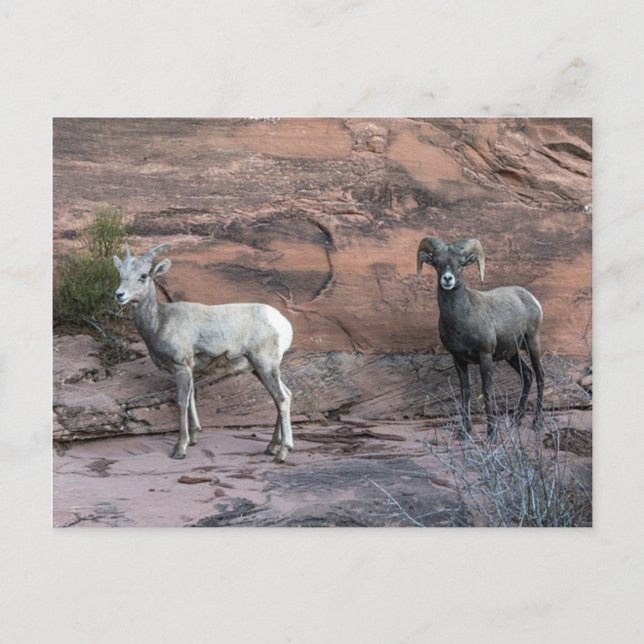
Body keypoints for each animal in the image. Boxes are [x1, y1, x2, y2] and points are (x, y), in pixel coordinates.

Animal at [113, 242, 294, 462]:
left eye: (143, 275)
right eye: (121, 273)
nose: (119, 295)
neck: (160, 322)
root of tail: (283, 324)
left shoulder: (181, 366)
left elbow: (182, 402)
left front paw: (180, 449)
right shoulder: (189, 369)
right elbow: (191, 398)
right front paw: (193, 438)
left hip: (265, 366)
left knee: (282, 400)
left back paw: (282, 453)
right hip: (261, 369)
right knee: (284, 396)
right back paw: (271, 447)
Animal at [416, 236, 544, 438]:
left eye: (460, 265)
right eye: (438, 264)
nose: (447, 279)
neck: (463, 318)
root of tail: (532, 300)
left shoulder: (485, 355)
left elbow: (487, 390)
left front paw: (491, 434)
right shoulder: (459, 359)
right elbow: (465, 392)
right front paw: (464, 431)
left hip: (532, 344)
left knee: (540, 376)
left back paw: (536, 423)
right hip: (511, 354)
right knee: (528, 375)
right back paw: (515, 420)